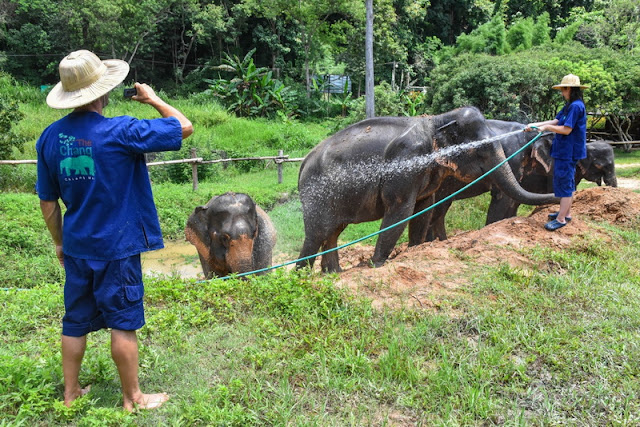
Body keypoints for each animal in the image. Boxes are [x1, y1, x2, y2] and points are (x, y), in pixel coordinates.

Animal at [298, 108, 556, 274]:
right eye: (480, 150)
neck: (436, 121)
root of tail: (304, 162)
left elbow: (424, 208)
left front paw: (414, 251)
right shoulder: (406, 162)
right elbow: (401, 211)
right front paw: (376, 265)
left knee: (333, 231)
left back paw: (333, 274)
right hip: (316, 196)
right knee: (316, 235)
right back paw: (301, 276)